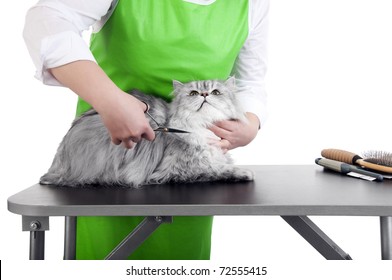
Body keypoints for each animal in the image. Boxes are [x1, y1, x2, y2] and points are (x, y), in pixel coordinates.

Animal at [39, 76, 254, 187]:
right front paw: (244, 172)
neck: (201, 127)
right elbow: (218, 169)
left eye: (216, 92)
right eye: (193, 93)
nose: (204, 94)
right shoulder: (179, 170)